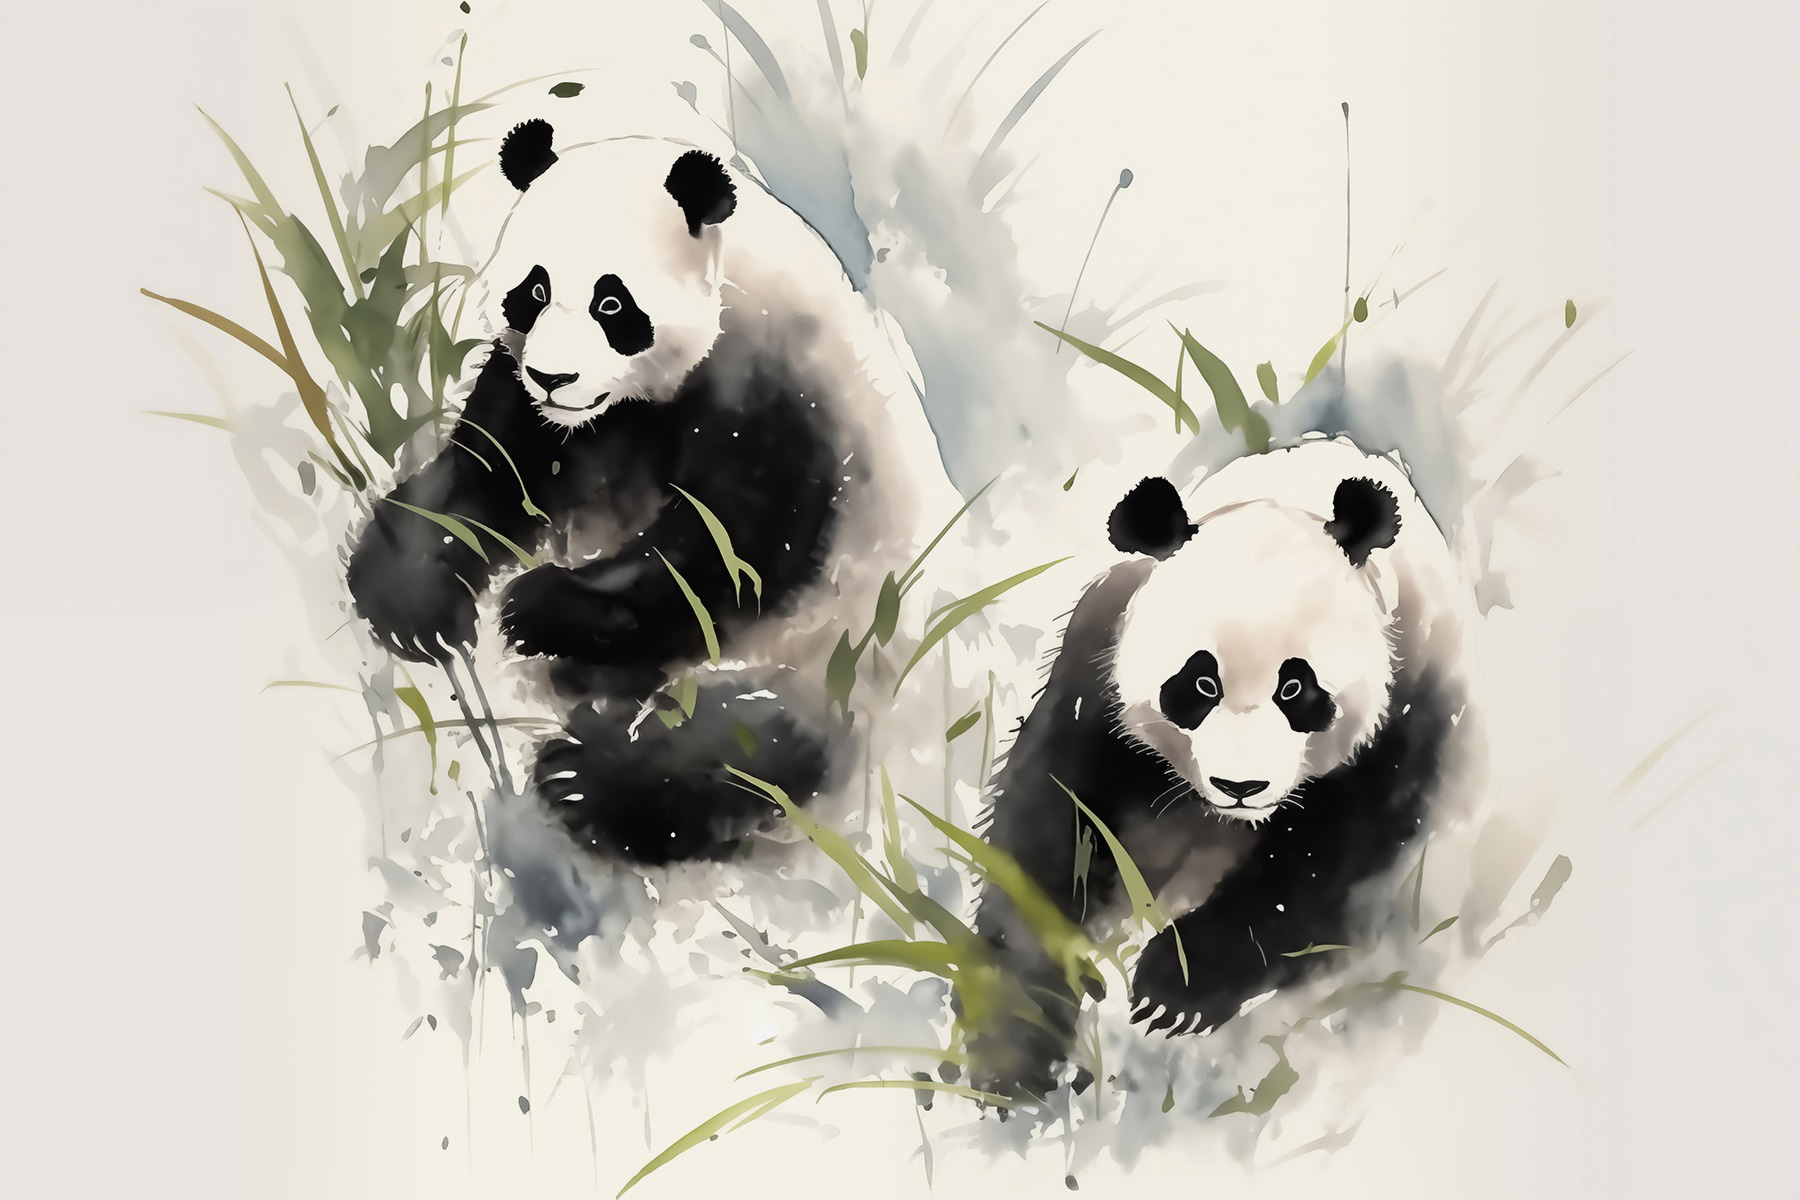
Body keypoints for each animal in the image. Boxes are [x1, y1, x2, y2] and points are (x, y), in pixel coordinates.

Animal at [345, 119, 957, 866]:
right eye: (535, 291)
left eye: (612, 303)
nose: (554, 377)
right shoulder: (566, 410)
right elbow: (497, 468)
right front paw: (406, 592)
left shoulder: (786, 395)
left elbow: (734, 555)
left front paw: (538, 606)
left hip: (836, 655)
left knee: (741, 745)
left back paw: (590, 777)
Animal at [966, 440, 1477, 1097]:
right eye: (1200, 683)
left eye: (1296, 687)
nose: (1241, 787)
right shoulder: (1098, 666)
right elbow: (1051, 833)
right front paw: (1011, 1047)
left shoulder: (1410, 701)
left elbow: (1320, 866)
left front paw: (1172, 986)